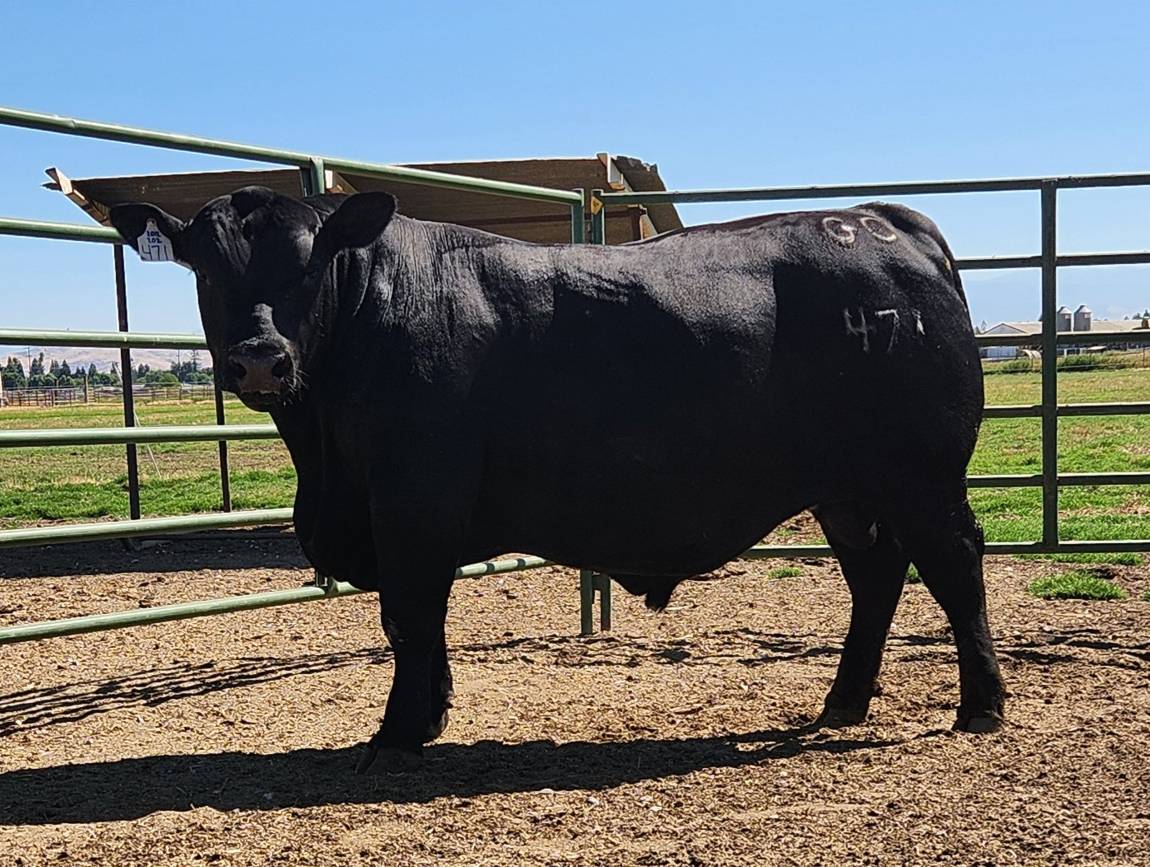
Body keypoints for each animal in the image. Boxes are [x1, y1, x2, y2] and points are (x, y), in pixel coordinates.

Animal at [110, 187, 1005, 772]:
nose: (262, 357)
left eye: (309, 264)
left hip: (921, 474)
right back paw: (843, 700)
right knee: (876, 576)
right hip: (847, 489)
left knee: (956, 567)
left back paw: (982, 706)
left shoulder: (411, 501)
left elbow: (407, 616)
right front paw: (431, 713)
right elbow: (424, 621)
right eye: (206, 268)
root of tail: (885, 220)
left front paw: (398, 730)